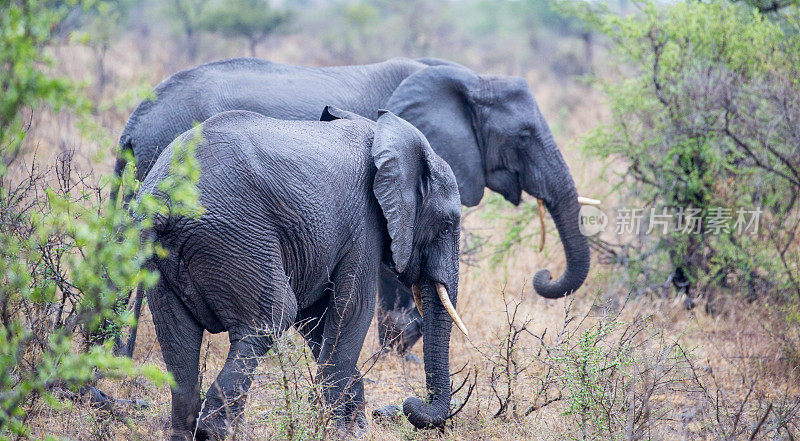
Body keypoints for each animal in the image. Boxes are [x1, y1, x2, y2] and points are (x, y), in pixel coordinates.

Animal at [134, 105, 466, 436]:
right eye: (446, 225)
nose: (410, 404)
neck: (387, 135)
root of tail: (163, 200)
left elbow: (317, 320)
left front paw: (352, 425)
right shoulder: (365, 221)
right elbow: (352, 309)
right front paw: (340, 431)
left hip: (163, 258)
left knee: (179, 343)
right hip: (232, 237)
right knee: (272, 316)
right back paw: (214, 432)